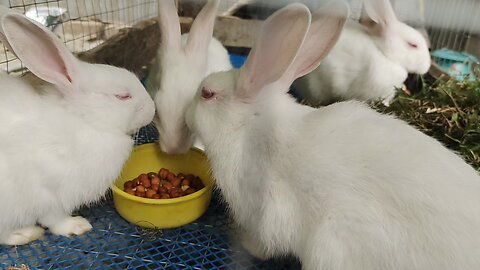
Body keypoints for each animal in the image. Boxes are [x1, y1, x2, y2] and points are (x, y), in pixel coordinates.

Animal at [0, 7, 154, 245]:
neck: (85, 121)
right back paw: (24, 234)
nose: (153, 109)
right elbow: (54, 218)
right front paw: (77, 226)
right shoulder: (48, 192)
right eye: (122, 96)